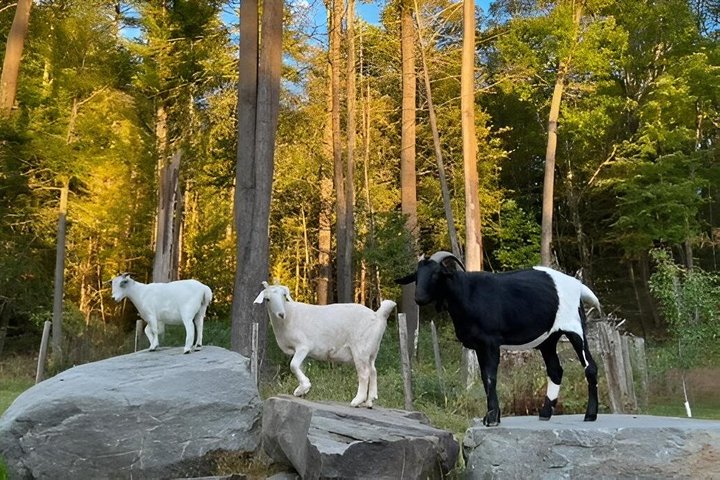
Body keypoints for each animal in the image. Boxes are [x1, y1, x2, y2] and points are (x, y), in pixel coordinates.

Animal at [254, 282, 396, 407]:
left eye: (284, 295)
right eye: (267, 299)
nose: (281, 314)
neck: (289, 317)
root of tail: (378, 315)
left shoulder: (303, 346)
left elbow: (293, 365)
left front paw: (304, 387)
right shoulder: (299, 352)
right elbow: (300, 367)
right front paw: (302, 390)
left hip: (360, 348)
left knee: (364, 373)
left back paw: (357, 401)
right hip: (371, 350)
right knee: (373, 370)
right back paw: (370, 401)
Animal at [395, 251, 600, 426]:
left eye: (436, 274)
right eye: (417, 275)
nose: (419, 298)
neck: (467, 293)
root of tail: (578, 285)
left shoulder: (490, 342)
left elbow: (490, 376)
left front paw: (492, 417)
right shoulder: (479, 346)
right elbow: (484, 376)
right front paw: (494, 415)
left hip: (575, 329)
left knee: (590, 366)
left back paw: (590, 415)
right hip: (548, 339)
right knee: (555, 370)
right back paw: (545, 413)